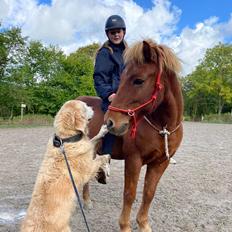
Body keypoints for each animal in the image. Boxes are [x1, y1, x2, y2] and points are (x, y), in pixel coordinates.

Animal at [20, 99, 109, 232]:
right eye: (85, 106)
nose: (93, 107)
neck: (66, 139)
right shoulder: (88, 170)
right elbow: (99, 158)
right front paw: (107, 160)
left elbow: (92, 140)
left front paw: (102, 131)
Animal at [78, 39, 183, 231]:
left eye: (138, 80)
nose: (110, 122)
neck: (162, 127)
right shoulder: (134, 159)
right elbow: (130, 193)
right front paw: (125, 226)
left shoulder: (160, 163)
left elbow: (149, 193)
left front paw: (143, 224)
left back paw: (87, 201)